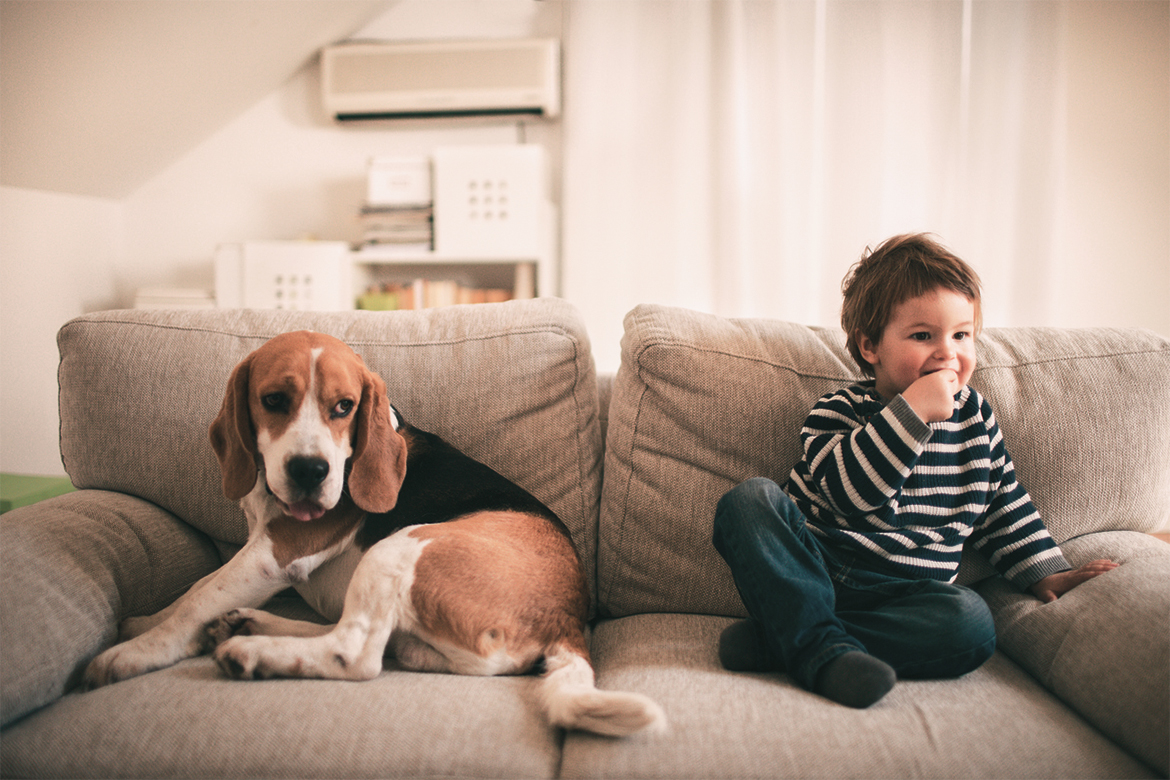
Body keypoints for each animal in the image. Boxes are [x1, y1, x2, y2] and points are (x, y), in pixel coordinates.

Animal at [84, 329, 669, 739]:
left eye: (344, 407)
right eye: (273, 400)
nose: (311, 472)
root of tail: (567, 620)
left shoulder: (275, 553)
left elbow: (197, 598)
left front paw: (134, 653)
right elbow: (193, 590)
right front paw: (145, 622)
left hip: (401, 546)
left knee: (357, 654)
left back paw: (253, 651)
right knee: (374, 642)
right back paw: (250, 625)